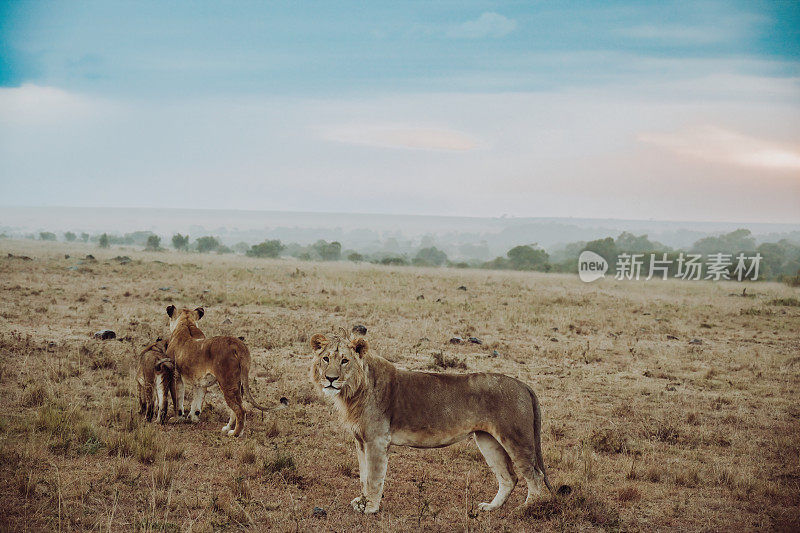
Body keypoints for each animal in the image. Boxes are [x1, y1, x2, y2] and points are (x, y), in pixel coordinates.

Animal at [164, 306, 286, 434]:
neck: (187, 324)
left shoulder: (174, 375)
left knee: (241, 409)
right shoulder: (200, 381)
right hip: (238, 383)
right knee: (237, 407)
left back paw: (235, 434)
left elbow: (177, 399)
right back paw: (228, 428)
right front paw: (193, 418)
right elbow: (197, 401)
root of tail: (237, 343)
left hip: (227, 383)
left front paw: (176, 419)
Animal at [308, 330, 564, 512]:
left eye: (345, 361)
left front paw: (370, 507)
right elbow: (363, 475)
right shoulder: (361, 441)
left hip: (516, 438)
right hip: (487, 440)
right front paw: (361, 502)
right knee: (509, 477)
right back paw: (491, 507)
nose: (330, 379)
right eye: (326, 359)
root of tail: (523, 385)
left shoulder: (377, 440)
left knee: (535, 475)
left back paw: (528, 508)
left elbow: (373, 477)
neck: (353, 392)